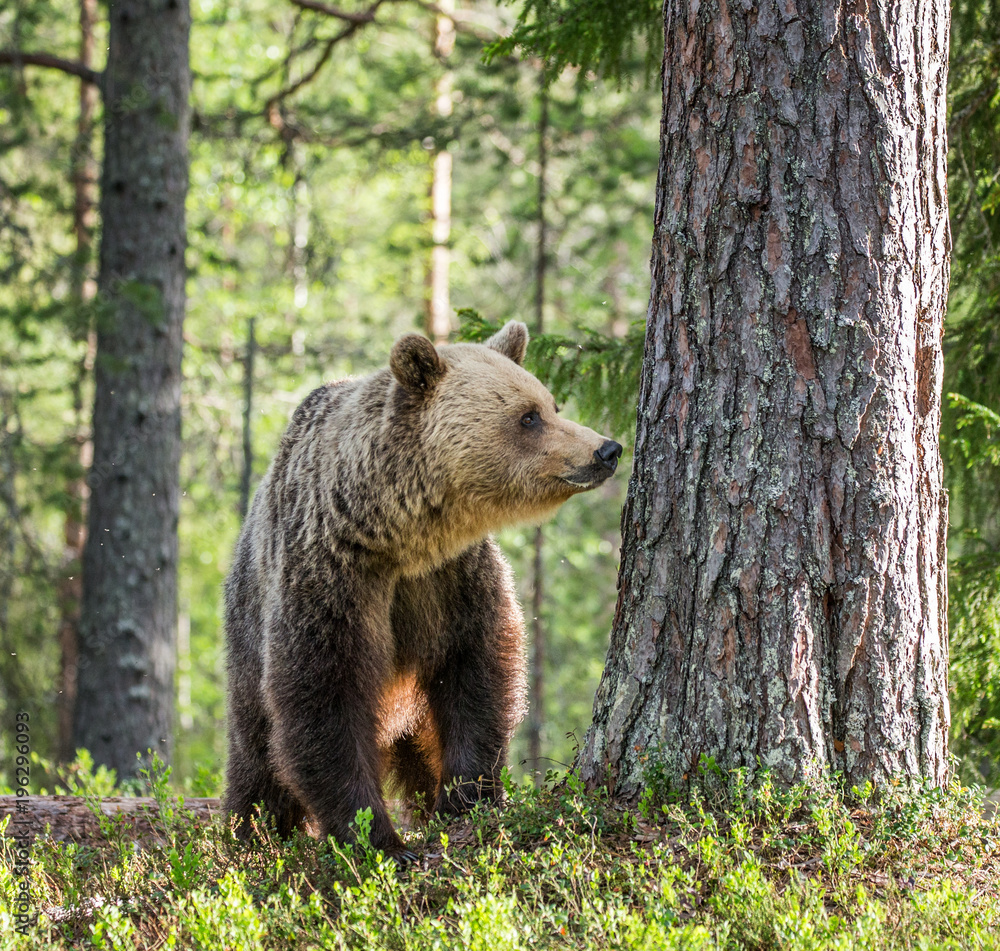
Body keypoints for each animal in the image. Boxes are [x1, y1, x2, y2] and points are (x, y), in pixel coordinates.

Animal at [223, 321, 622, 862]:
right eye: (529, 417)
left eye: (552, 404)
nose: (606, 449)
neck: (398, 536)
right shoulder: (331, 574)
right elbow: (322, 696)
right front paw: (379, 838)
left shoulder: (451, 578)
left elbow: (479, 672)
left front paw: (464, 800)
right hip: (246, 630)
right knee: (256, 751)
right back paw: (251, 836)